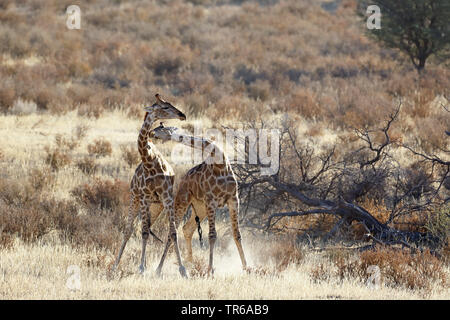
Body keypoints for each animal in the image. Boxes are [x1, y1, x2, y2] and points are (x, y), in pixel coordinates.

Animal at [114, 93, 188, 278]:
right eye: (165, 107)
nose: (182, 115)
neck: (149, 161)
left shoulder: (167, 199)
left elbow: (173, 232)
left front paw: (183, 270)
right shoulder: (144, 198)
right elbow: (144, 232)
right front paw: (141, 268)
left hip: (156, 206)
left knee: (147, 227)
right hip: (136, 200)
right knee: (130, 230)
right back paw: (115, 266)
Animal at [149, 123, 248, 276]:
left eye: (162, 129)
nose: (152, 133)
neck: (220, 162)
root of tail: (183, 179)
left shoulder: (233, 199)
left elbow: (237, 234)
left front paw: (246, 268)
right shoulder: (211, 201)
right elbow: (212, 235)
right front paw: (210, 270)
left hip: (200, 208)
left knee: (187, 228)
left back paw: (190, 263)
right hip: (183, 201)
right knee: (172, 232)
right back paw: (160, 269)